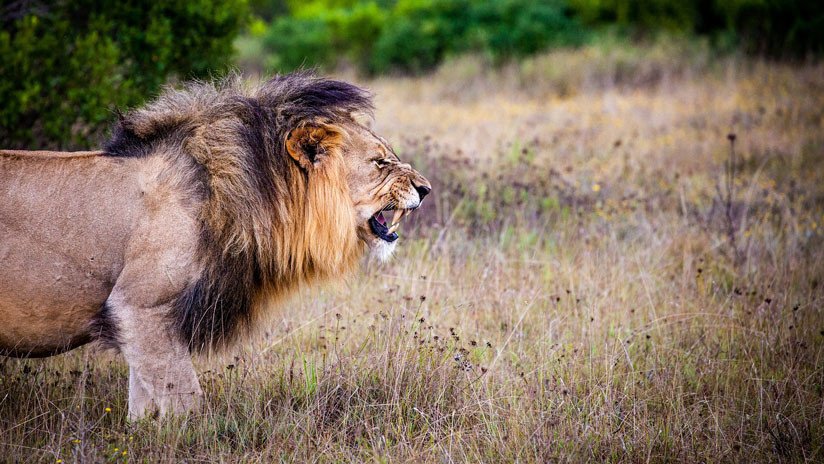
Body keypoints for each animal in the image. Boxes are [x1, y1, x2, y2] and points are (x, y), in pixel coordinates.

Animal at [0, 72, 434, 420]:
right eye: (380, 163)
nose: (426, 189)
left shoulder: (142, 323)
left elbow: (144, 404)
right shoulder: (138, 306)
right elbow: (185, 400)